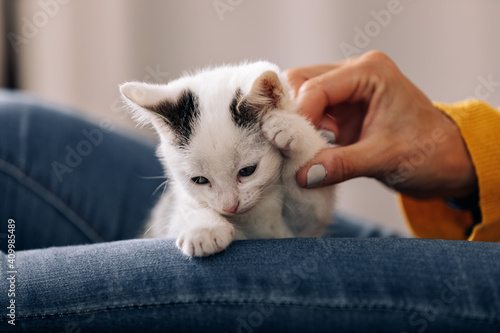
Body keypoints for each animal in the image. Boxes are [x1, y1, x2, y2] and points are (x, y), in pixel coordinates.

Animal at [119, 61, 334, 255]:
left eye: (247, 171)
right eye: (199, 180)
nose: (230, 207)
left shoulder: (304, 227)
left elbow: (311, 199)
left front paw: (287, 125)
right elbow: (188, 208)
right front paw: (205, 228)